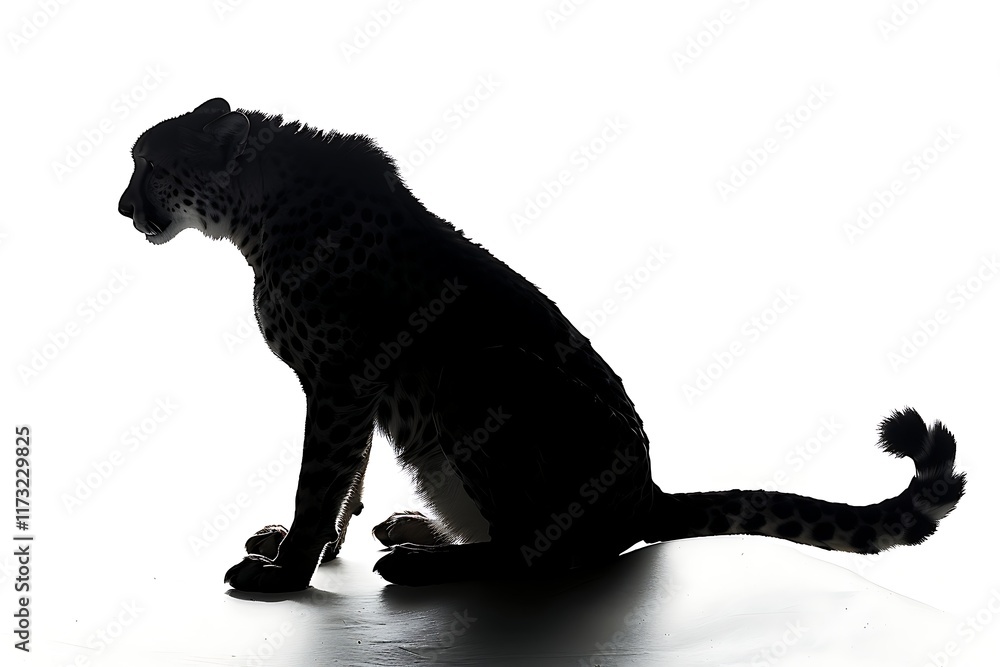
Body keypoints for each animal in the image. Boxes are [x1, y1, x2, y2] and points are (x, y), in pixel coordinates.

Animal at [117, 98, 966, 591]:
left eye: (149, 165)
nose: (123, 208)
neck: (253, 206)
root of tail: (646, 494)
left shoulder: (341, 381)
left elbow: (318, 477)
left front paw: (288, 568)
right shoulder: (349, 389)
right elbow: (344, 477)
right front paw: (315, 545)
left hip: (481, 379)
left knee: (536, 551)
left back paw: (428, 559)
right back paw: (415, 527)